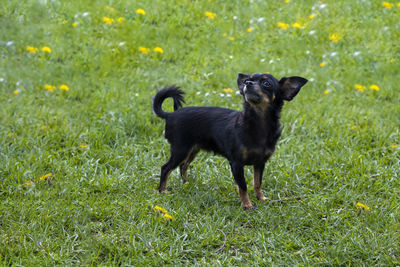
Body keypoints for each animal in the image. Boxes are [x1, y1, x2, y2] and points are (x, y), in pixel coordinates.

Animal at [152, 74, 306, 211]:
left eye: (266, 83)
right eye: (248, 80)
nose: (247, 83)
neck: (258, 123)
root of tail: (170, 115)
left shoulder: (260, 163)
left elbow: (257, 182)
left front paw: (261, 198)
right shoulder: (236, 163)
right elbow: (243, 186)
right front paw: (247, 205)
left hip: (192, 150)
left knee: (183, 166)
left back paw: (186, 184)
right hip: (181, 150)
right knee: (166, 168)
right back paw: (163, 191)